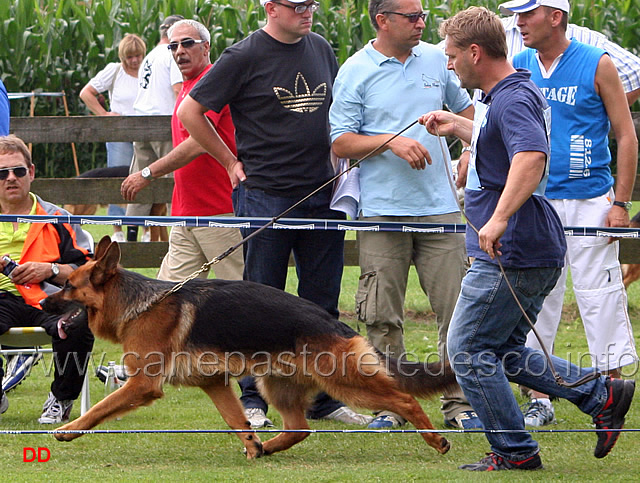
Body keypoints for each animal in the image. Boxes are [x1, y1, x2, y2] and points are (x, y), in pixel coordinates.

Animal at [42, 236, 458, 460]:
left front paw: (69, 430)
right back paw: (269, 447)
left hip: (346, 382)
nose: (42, 302)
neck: (140, 303)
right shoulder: (214, 383)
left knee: (404, 400)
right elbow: (236, 420)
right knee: (299, 428)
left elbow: (100, 408)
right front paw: (253, 444)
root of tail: (333, 322)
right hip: (275, 385)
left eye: (68, 286)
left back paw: (436, 440)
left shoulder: (142, 384)